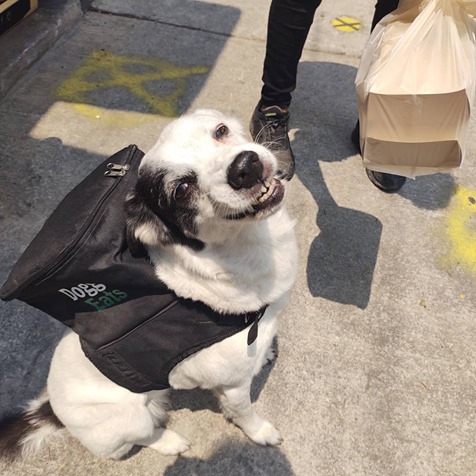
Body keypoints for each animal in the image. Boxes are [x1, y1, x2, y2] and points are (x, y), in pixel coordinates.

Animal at [0, 109, 298, 460]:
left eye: (221, 131)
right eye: (182, 188)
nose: (245, 167)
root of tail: (52, 409)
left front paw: (265, 354)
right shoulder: (233, 387)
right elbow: (245, 414)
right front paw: (260, 433)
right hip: (132, 417)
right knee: (137, 438)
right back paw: (170, 441)